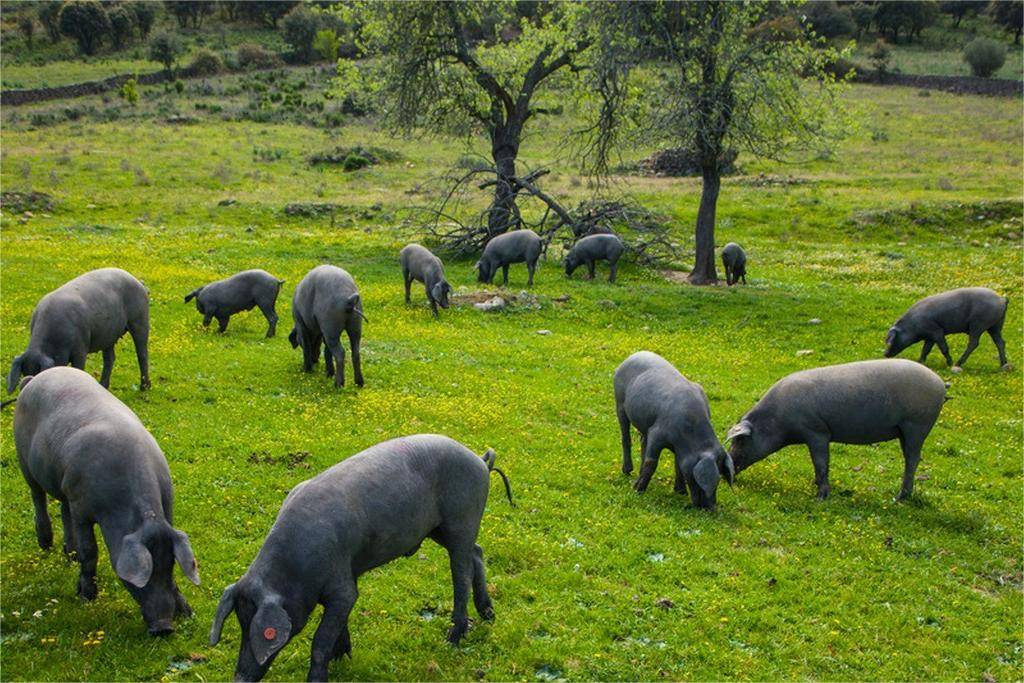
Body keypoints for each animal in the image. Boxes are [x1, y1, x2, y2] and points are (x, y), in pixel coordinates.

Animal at [6, 268, 151, 395]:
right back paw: (103, 386)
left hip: (140, 320)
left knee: (142, 354)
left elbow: (78, 367)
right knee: (110, 358)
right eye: (24, 373)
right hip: (109, 335)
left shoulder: (81, 348)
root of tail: (139, 283)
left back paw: (144, 388)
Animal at [12, 368, 199, 634]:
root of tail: (36, 378)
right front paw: (86, 598)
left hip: (64, 483)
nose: (164, 628)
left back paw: (69, 555)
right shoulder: (82, 508)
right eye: (142, 577)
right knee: (38, 498)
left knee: (63, 509)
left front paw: (188, 612)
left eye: (170, 566)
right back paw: (47, 545)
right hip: (25, 461)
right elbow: (90, 551)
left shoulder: (167, 509)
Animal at [207, 436, 512, 679]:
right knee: (477, 553)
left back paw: (453, 639)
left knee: (461, 574)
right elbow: (338, 627)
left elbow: (320, 641)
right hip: (440, 529)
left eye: (259, 630)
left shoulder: (342, 589)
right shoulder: (348, 575)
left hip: (462, 518)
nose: (240, 677)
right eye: (240, 622)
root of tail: (479, 460)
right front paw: (343, 656)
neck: (295, 573)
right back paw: (488, 615)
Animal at [610, 352, 733, 507]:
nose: (711, 508)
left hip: (644, 425)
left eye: (718, 480)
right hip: (619, 403)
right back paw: (627, 471)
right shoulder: (656, 433)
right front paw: (637, 490)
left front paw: (681, 492)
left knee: (643, 442)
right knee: (626, 438)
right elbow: (651, 463)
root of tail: (632, 355)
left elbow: (678, 464)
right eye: (700, 480)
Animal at [724, 358, 946, 501]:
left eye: (740, 440)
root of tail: (940, 384)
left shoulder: (817, 431)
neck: (777, 420)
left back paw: (899, 498)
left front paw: (821, 496)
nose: (730, 467)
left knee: (913, 459)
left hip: (917, 425)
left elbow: (821, 462)